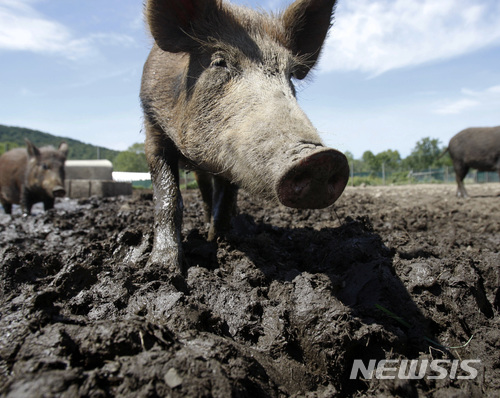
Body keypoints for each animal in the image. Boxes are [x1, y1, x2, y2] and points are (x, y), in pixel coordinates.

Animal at [143, 0, 350, 270]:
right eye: (219, 62)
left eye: (290, 74)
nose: (322, 158)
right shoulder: (152, 129)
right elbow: (167, 196)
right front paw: (162, 267)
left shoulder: (231, 158)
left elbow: (226, 198)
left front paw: (222, 242)